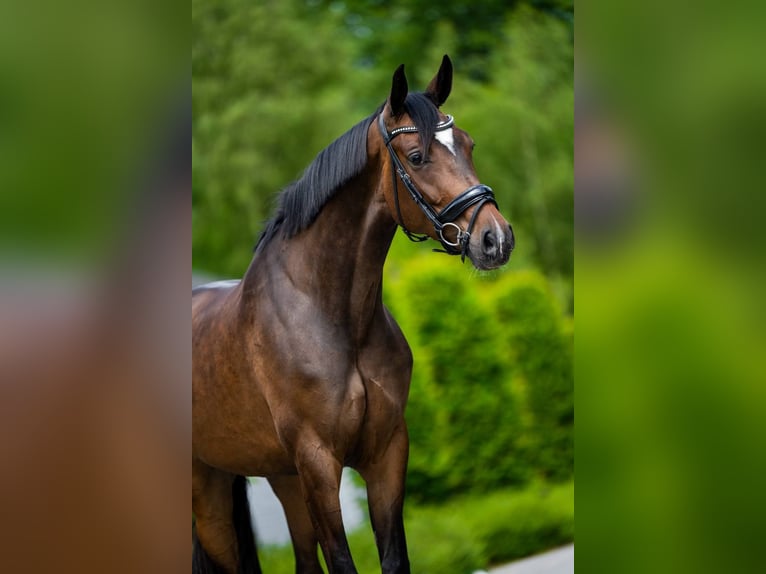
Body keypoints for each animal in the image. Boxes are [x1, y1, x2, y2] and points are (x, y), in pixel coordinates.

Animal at [192, 55, 516, 574]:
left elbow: (394, 559)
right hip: (209, 493)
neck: (332, 313)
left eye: (467, 144)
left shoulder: (385, 453)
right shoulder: (319, 463)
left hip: (280, 478)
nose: (496, 238)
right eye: (417, 156)